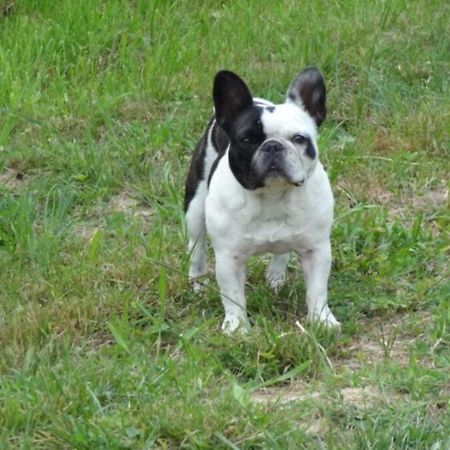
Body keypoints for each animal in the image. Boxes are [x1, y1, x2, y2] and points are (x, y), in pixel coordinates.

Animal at [185, 67, 340, 334]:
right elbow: (233, 295)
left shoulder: (316, 250)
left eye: (299, 139)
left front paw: (322, 320)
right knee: (196, 249)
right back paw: (198, 283)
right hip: (194, 210)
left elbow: (318, 290)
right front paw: (237, 327)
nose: (273, 146)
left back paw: (276, 278)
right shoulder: (229, 257)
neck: (272, 196)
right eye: (247, 140)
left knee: (282, 252)